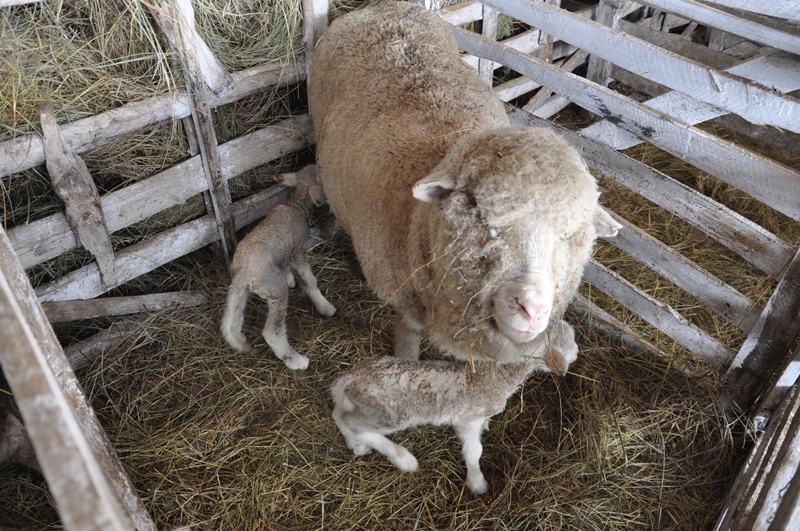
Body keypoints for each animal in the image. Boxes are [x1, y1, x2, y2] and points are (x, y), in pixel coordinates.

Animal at [219, 165, 334, 370]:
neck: (295, 205)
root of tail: (243, 274)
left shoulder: (285, 252)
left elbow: (287, 267)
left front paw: (290, 278)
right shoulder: (297, 250)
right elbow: (309, 281)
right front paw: (325, 306)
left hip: (239, 290)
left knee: (232, 320)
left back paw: (239, 339)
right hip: (275, 289)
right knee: (272, 333)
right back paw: (297, 361)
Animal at [310, 1, 620, 366]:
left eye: (571, 235)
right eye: (481, 217)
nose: (531, 310)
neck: (418, 219)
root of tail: (383, 9)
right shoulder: (405, 301)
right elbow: (407, 343)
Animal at [332, 320, 580, 498]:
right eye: (567, 341)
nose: (577, 351)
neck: (498, 376)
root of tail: (351, 377)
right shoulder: (466, 419)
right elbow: (474, 451)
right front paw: (477, 483)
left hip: (358, 402)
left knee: (340, 415)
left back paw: (356, 446)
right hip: (391, 412)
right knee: (354, 423)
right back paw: (403, 459)